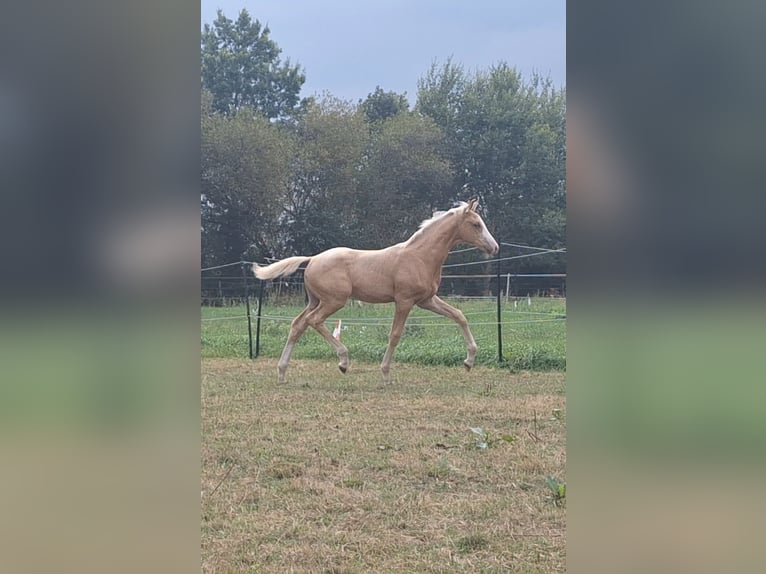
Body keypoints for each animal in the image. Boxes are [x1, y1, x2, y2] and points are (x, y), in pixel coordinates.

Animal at [253, 198, 499, 384]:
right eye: (476, 224)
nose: (494, 247)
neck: (419, 256)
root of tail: (312, 259)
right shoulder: (404, 301)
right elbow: (395, 334)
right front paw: (386, 374)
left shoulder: (427, 300)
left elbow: (459, 316)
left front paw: (468, 361)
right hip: (334, 301)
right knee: (314, 321)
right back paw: (343, 362)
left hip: (315, 301)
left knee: (298, 325)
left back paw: (282, 372)